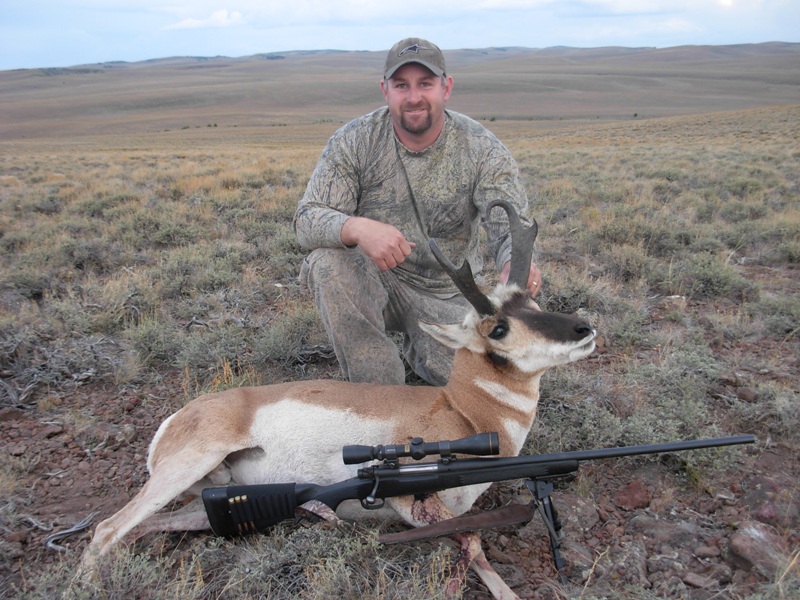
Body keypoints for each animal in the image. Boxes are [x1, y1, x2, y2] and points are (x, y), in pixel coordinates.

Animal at [79, 203, 592, 600]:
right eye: (498, 327)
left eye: (531, 303)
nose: (584, 329)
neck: (462, 409)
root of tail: (182, 416)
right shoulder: (412, 502)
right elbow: (473, 543)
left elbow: (475, 546)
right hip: (189, 464)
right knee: (106, 530)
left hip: (209, 501)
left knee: (141, 527)